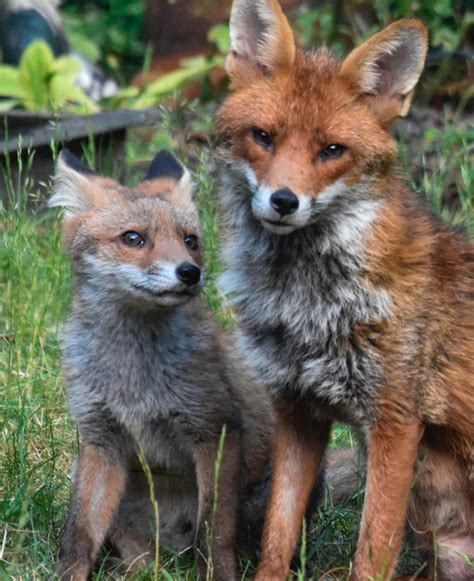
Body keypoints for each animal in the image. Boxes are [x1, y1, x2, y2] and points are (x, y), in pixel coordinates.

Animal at [215, 2, 474, 576]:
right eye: (263, 137)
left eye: (332, 150)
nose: (283, 201)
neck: (305, 302)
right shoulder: (297, 413)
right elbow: (277, 535)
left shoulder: (396, 423)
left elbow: (371, 553)